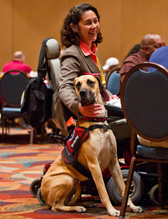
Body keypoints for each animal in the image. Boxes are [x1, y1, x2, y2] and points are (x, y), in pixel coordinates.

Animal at [41, 75, 143, 217]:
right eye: (78, 84)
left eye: (90, 82)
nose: (83, 92)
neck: (97, 123)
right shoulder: (94, 165)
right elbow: (103, 191)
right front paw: (112, 210)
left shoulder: (114, 163)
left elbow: (124, 188)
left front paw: (132, 206)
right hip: (67, 179)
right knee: (57, 206)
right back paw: (78, 208)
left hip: (75, 183)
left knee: (68, 201)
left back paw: (86, 203)